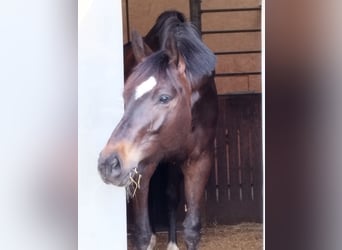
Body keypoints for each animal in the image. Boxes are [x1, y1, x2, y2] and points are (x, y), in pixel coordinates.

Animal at [97, 10, 218, 249]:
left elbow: (192, 228)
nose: (109, 163)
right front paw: (150, 236)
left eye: (164, 97)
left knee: (170, 196)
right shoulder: (143, 166)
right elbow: (142, 232)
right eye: (125, 95)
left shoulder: (200, 161)